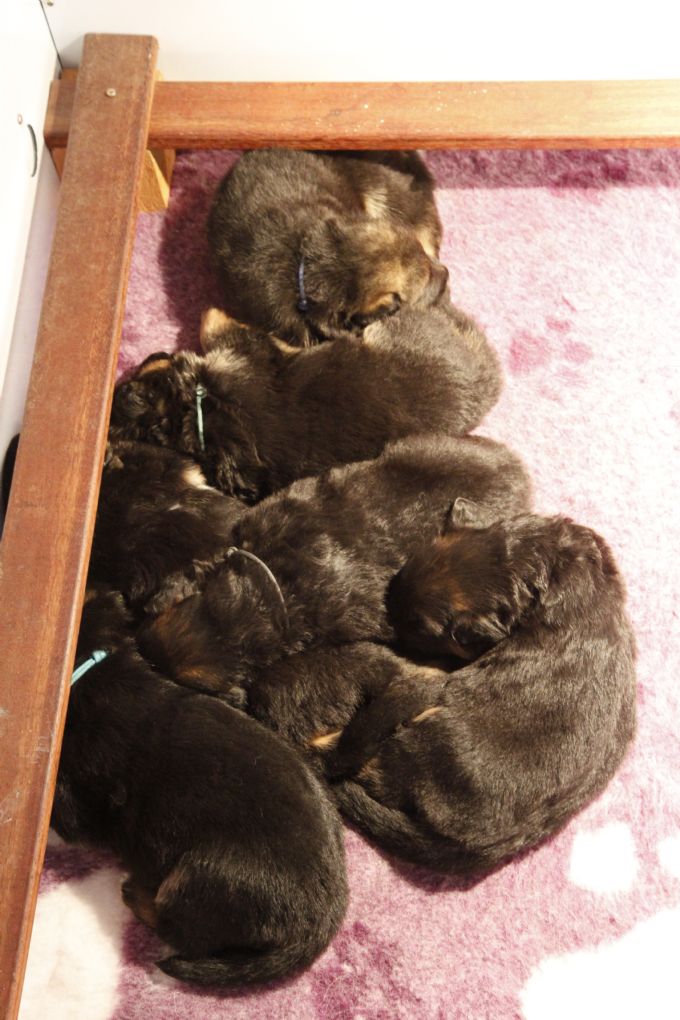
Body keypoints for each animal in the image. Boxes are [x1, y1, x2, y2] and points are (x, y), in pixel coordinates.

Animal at [52, 586, 348, 985]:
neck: (94, 664)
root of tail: (318, 928)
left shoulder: (78, 804)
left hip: (196, 879)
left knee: (179, 930)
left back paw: (136, 893)